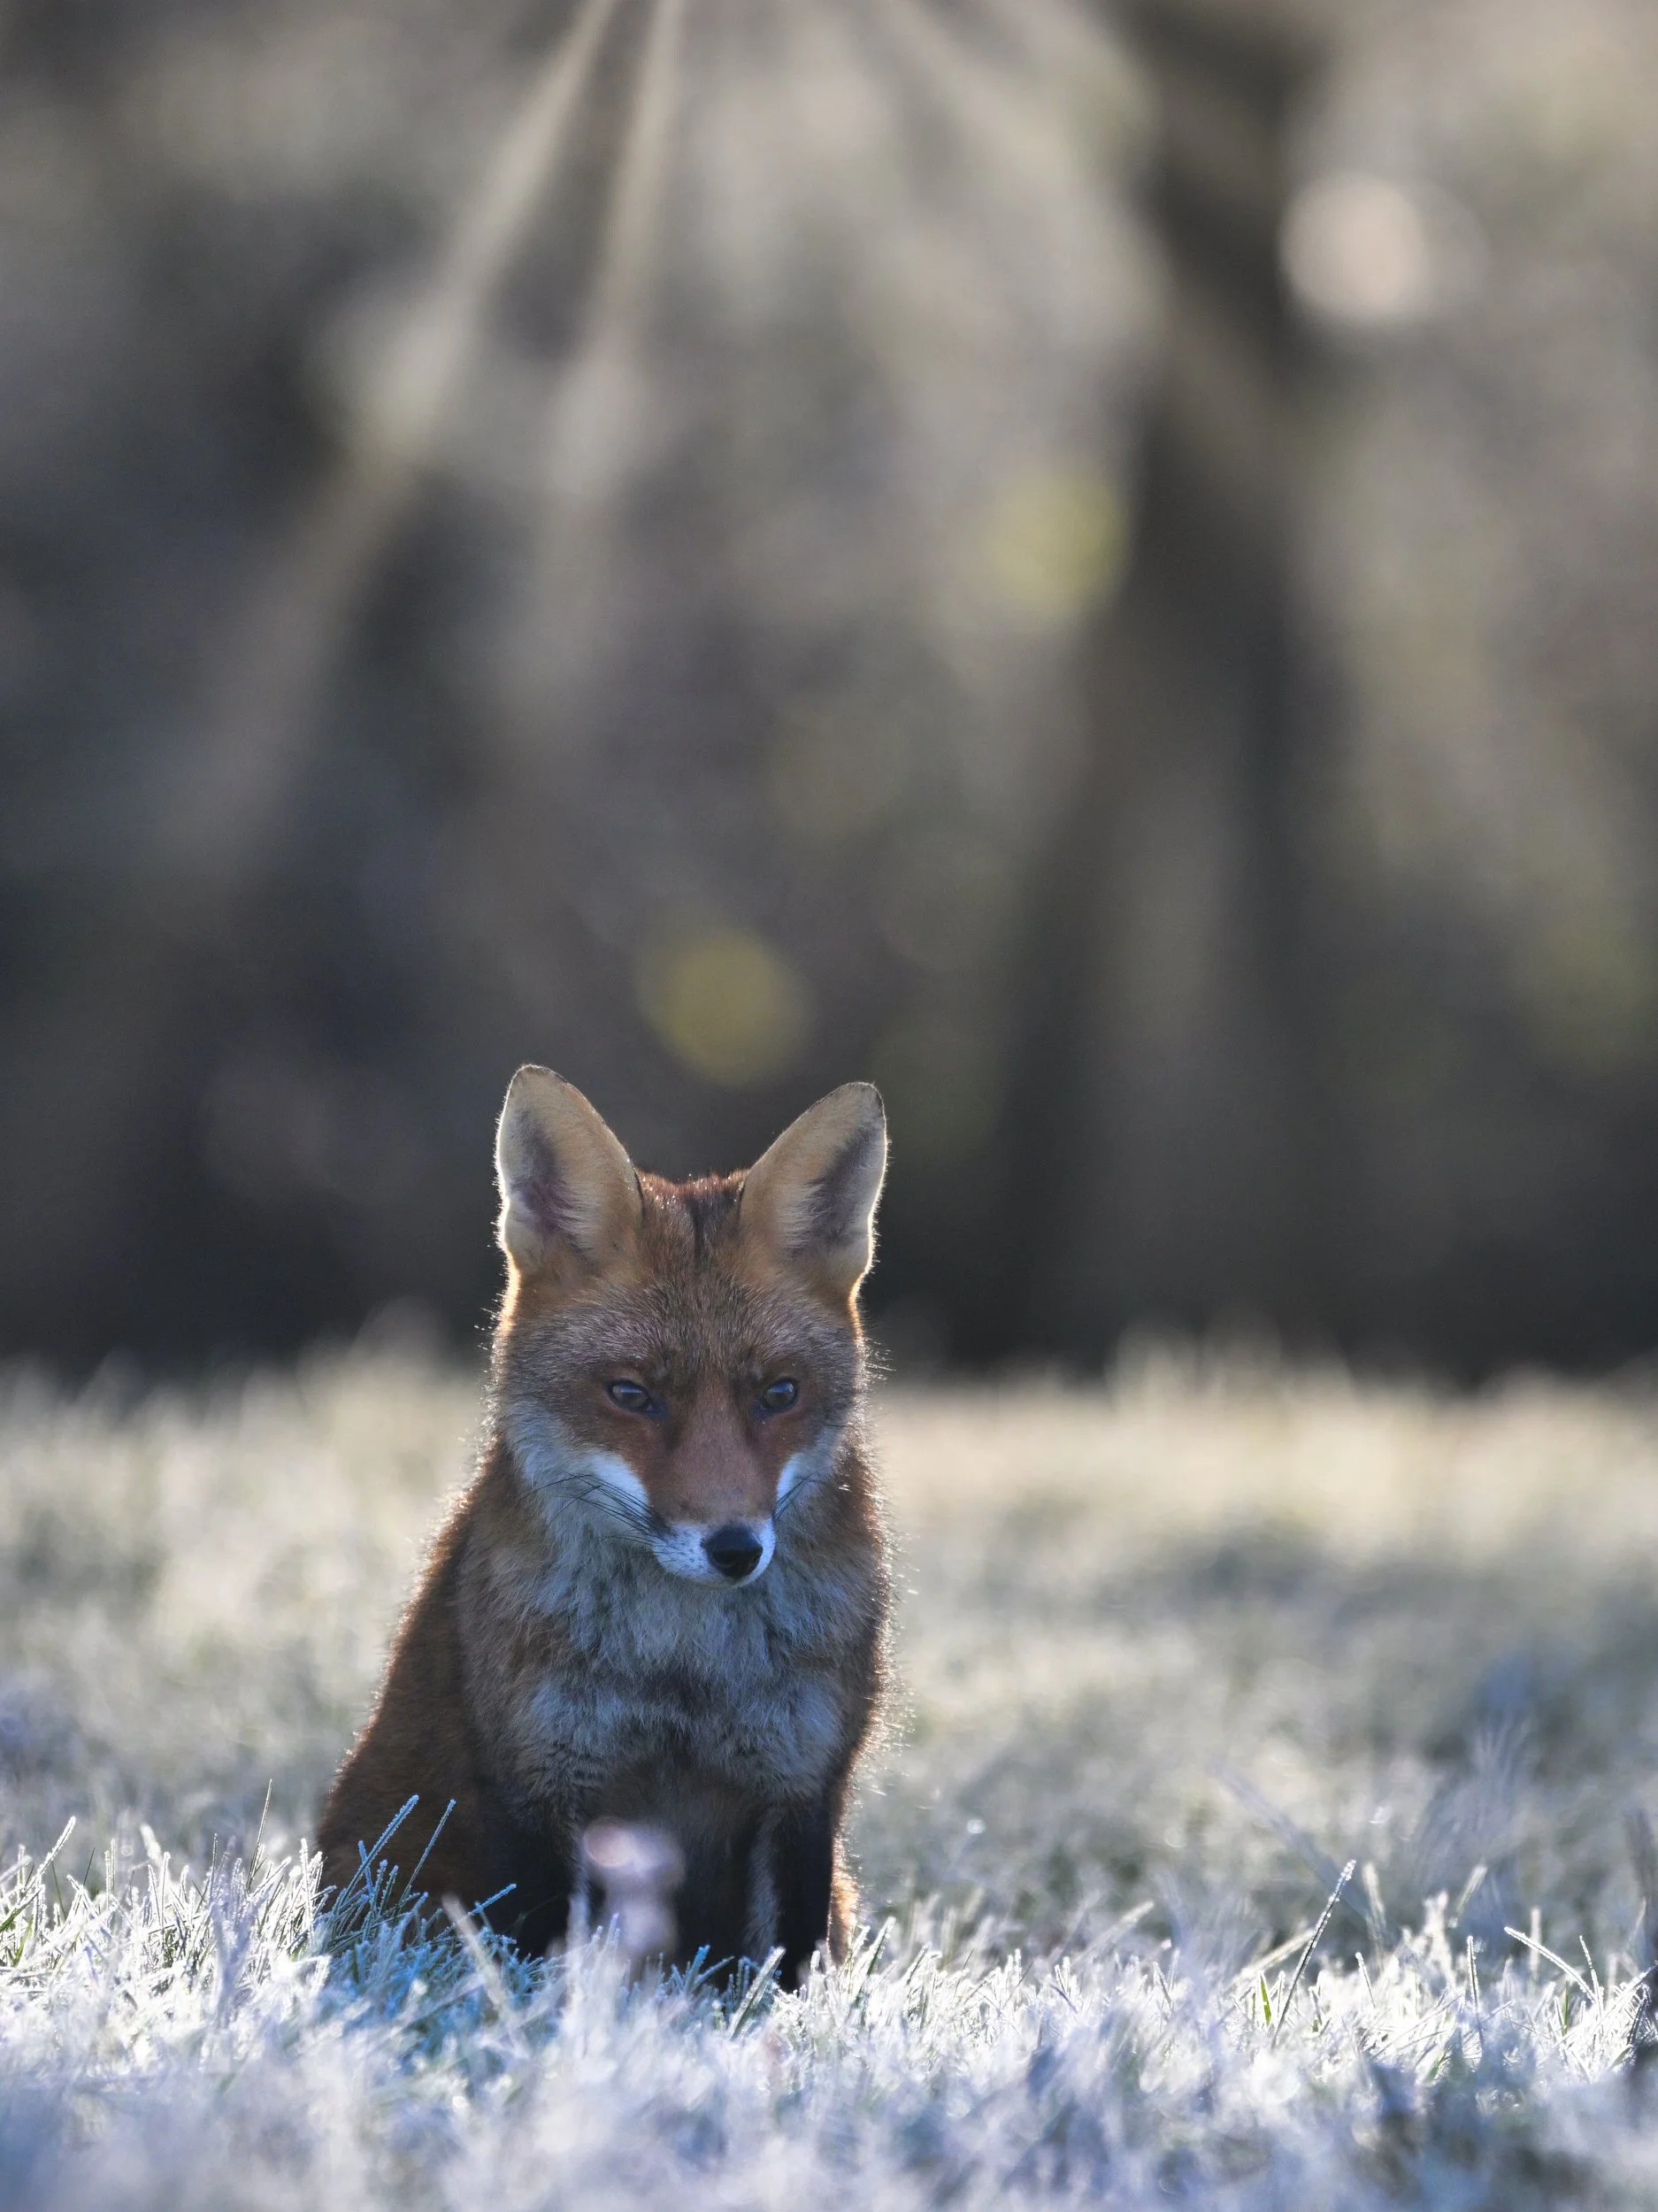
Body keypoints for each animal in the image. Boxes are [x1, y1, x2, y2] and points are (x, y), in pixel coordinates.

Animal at [317, 1067, 889, 1986]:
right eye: (631, 1395)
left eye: (779, 1394)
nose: (735, 1549)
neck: (682, 1667)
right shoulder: (539, 1787)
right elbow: (547, 1956)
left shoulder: (803, 1786)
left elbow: (789, 1974)